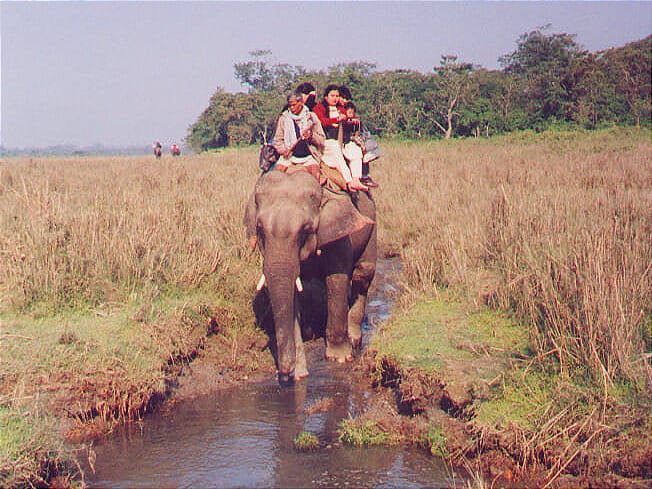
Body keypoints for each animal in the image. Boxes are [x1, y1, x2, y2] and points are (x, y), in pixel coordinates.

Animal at [244, 170, 377, 385]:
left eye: (306, 230)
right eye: (260, 229)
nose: (284, 375)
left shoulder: (338, 233)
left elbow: (337, 280)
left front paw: (340, 358)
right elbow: (292, 291)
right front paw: (300, 375)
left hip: (371, 222)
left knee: (363, 273)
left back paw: (354, 339)